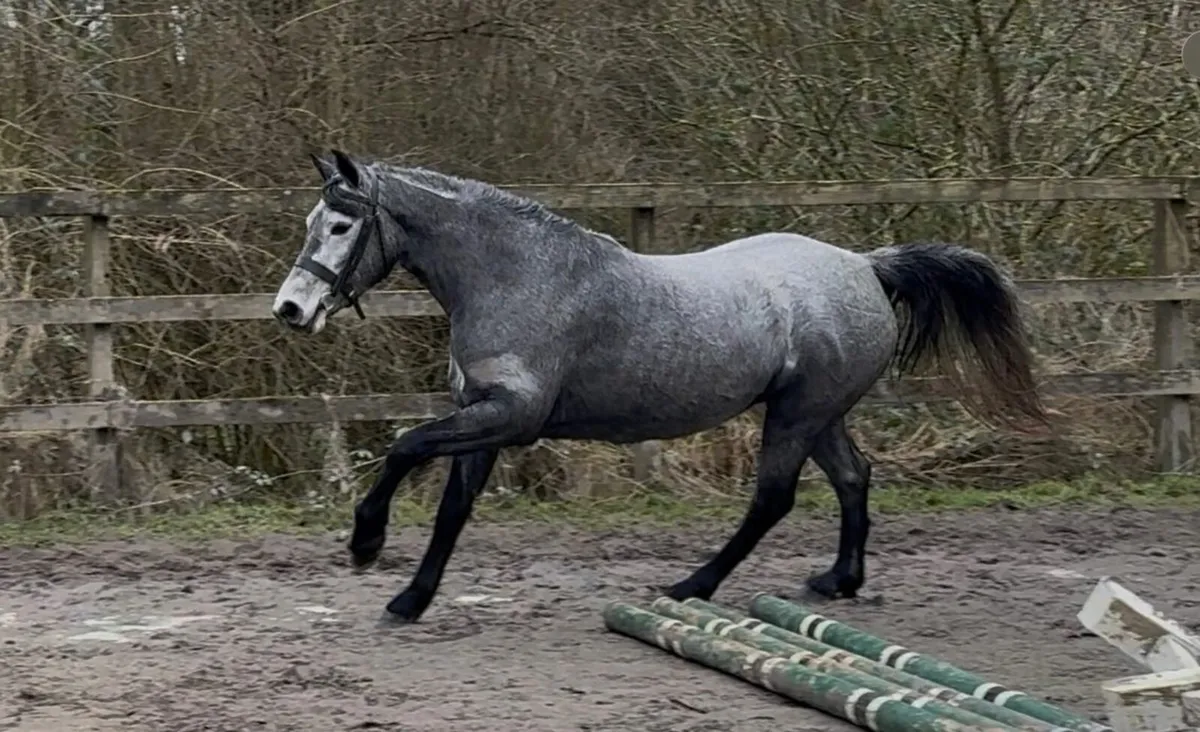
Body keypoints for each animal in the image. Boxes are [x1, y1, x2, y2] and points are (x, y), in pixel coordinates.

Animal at [271, 149, 1047, 625]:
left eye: (339, 223)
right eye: (313, 220)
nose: (291, 310)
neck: (513, 275)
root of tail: (864, 267)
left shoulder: (511, 417)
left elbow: (405, 447)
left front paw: (366, 543)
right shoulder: (480, 416)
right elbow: (452, 513)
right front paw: (411, 599)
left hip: (796, 415)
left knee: (773, 500)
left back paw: (690, 587)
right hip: (819, 413)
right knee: (855, 478)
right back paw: (838, 581)